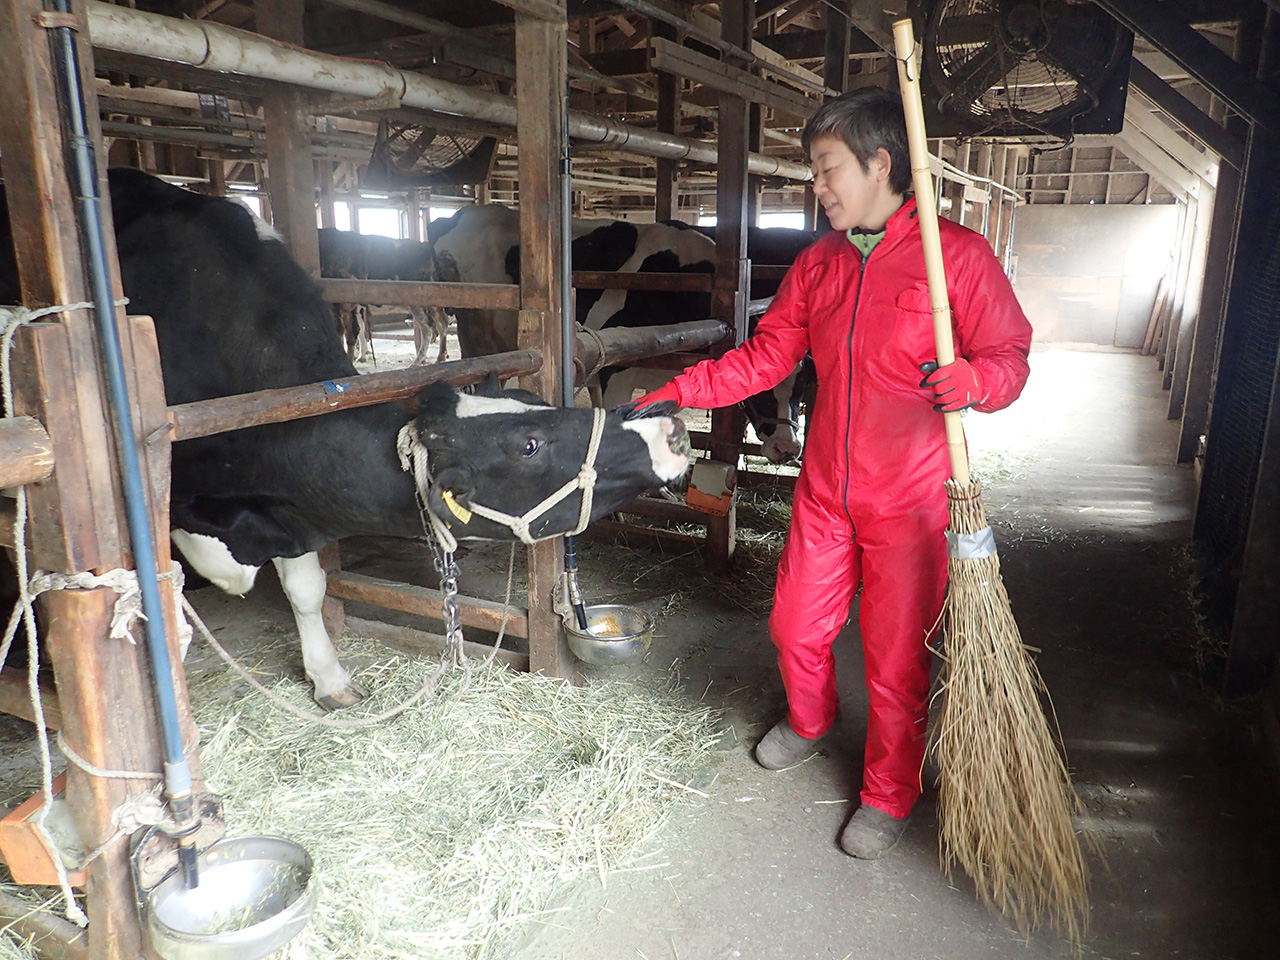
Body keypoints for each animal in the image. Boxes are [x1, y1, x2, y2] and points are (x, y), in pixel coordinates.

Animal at [318, 229, 450, 368]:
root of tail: (424, 246)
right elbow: (359, 330)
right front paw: (361, 356)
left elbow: (347, 332)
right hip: (435, 301)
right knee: (442, 323)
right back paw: (440, 356)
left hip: (417, 301)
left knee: (427, 327)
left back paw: (417, 361)